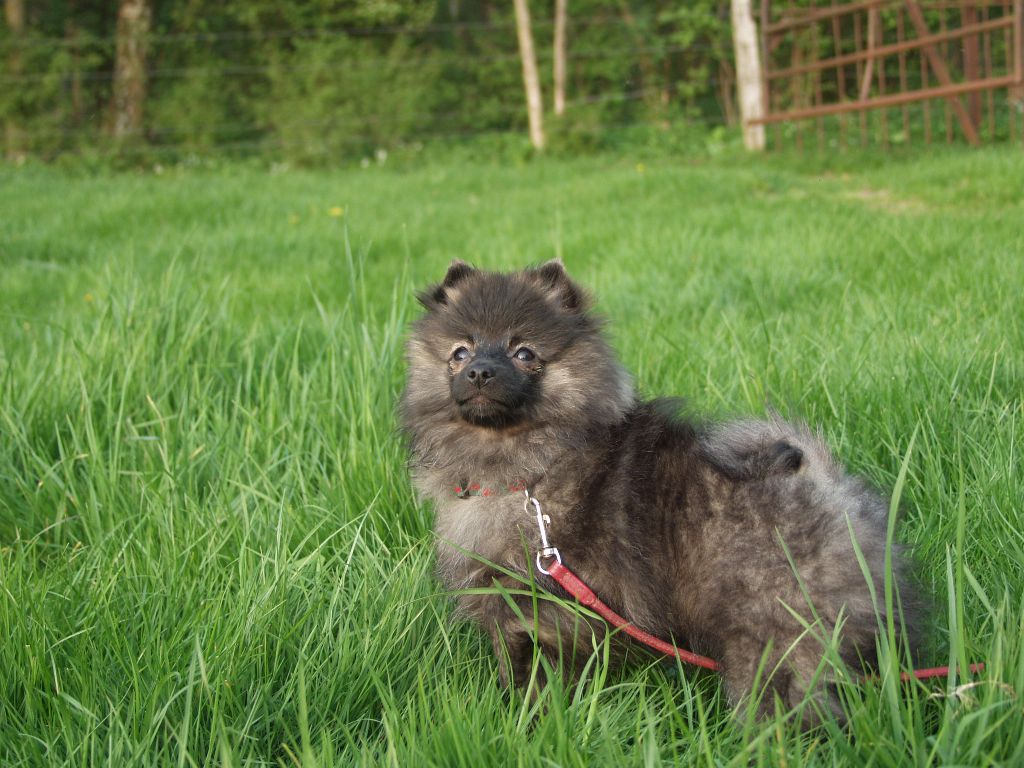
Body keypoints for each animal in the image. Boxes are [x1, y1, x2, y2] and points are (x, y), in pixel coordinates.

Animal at [399, 262, 921, 724]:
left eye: (524, 352)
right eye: (460, 352)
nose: (480, 372)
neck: (529, 471)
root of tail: (817, 479)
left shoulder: (538, 609)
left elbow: (531, 675)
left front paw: (527, 720)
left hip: (773, 638)